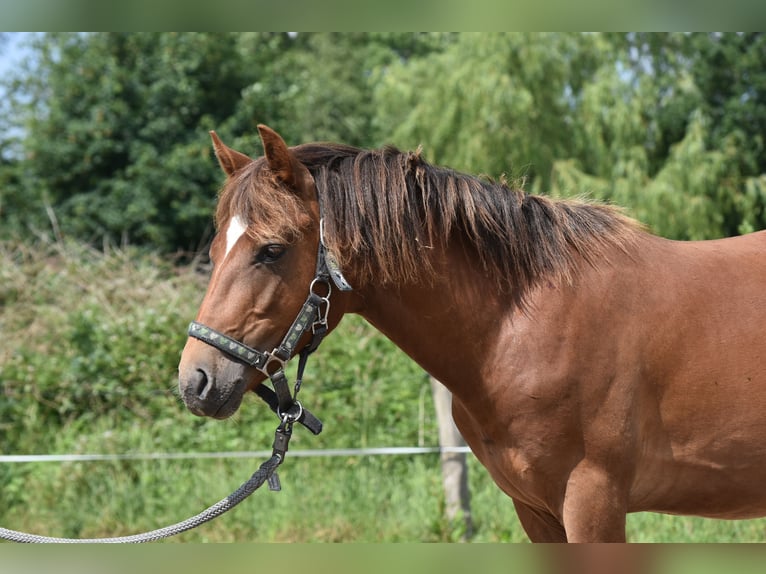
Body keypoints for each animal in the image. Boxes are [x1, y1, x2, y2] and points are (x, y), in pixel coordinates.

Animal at [177, 124, 766, 544]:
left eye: (272, 250)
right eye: (214, 249)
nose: (196, 380)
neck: (520, 325)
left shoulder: (593, 502)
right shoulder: (535, 510)